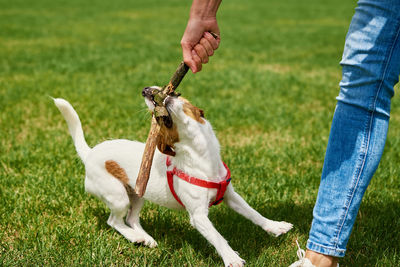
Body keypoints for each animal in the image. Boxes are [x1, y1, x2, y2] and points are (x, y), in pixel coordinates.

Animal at [54, 87, 290, 266]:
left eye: (181, 97)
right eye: (157, 119)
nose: (147, 90)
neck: (201, 158)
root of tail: (90, 153)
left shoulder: (231, 196)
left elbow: (254, 214)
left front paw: (275, 226)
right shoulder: (199, 216)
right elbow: (218, 238)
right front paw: (231, 258)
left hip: (138, 193)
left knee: (131, 218)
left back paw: (145, 238)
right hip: (117, 196)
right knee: (114, 221)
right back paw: (135, 237)